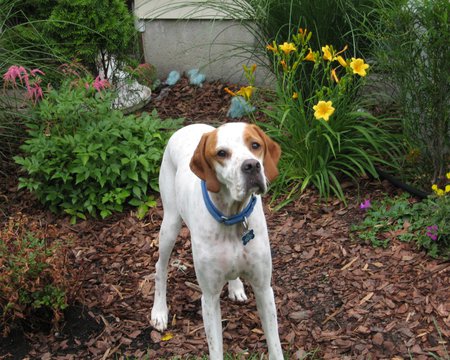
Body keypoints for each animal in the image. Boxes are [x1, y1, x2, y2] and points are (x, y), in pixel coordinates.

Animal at [153, 122, 284, 358]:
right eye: (221, 153)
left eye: (255, 145)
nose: (251, 165)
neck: (232, 217)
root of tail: (188, 126)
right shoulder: (209, 297)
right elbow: (215, 348)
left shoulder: (263, 288)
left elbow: (275, 346)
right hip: (170, 224)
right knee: (160, 267)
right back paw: (159, 311)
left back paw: (236, 286)